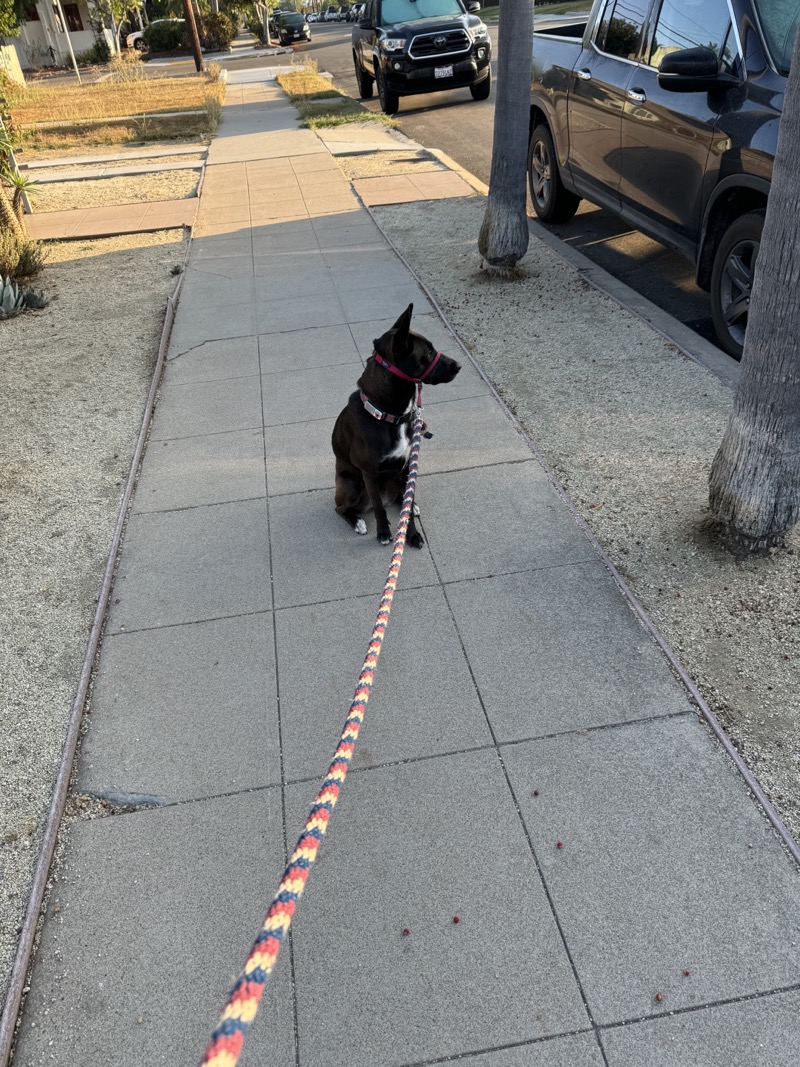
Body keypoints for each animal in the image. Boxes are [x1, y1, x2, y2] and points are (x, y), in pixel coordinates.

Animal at [332, 303, 460, 546]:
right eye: (428, 353)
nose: (458, 365)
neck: (388, 415)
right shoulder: (369, 473)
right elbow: (379, 509)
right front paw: (383, 532)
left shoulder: (407, 464)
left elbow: (405, 507)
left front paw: (411, 533)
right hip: (352, 485)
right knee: (340, 507)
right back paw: (357, 521)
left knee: (403, 499)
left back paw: (411, 504)